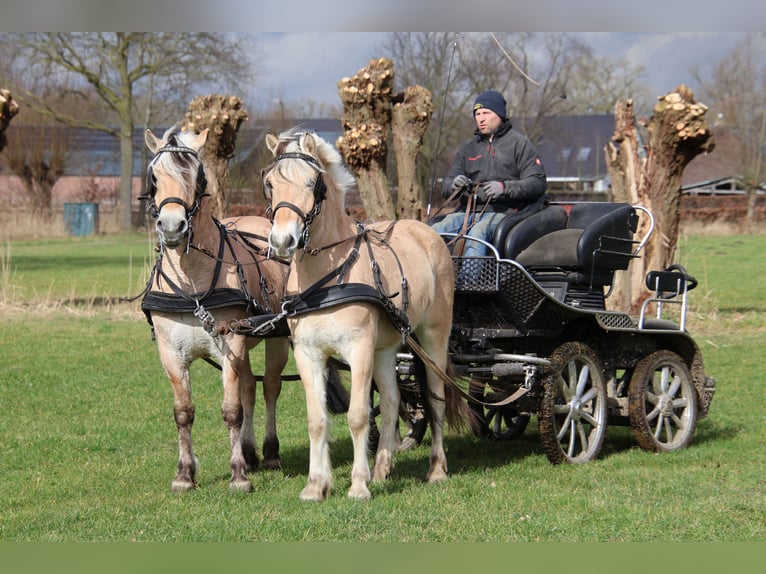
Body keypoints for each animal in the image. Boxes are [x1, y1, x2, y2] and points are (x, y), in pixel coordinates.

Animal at [262, 128, 468, 502]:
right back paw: (383, 469)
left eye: (312, 182)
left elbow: (358, 416)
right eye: (270, 183)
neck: (327, 279)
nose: (283, 240)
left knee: (436, 399)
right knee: (391, 400)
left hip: (433, 339)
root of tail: (427, 232)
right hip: (385, 350)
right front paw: (316, 485)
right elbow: (317, 420)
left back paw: (436, 469)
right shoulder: (308, 354)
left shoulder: (358, 350)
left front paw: (358, 484)